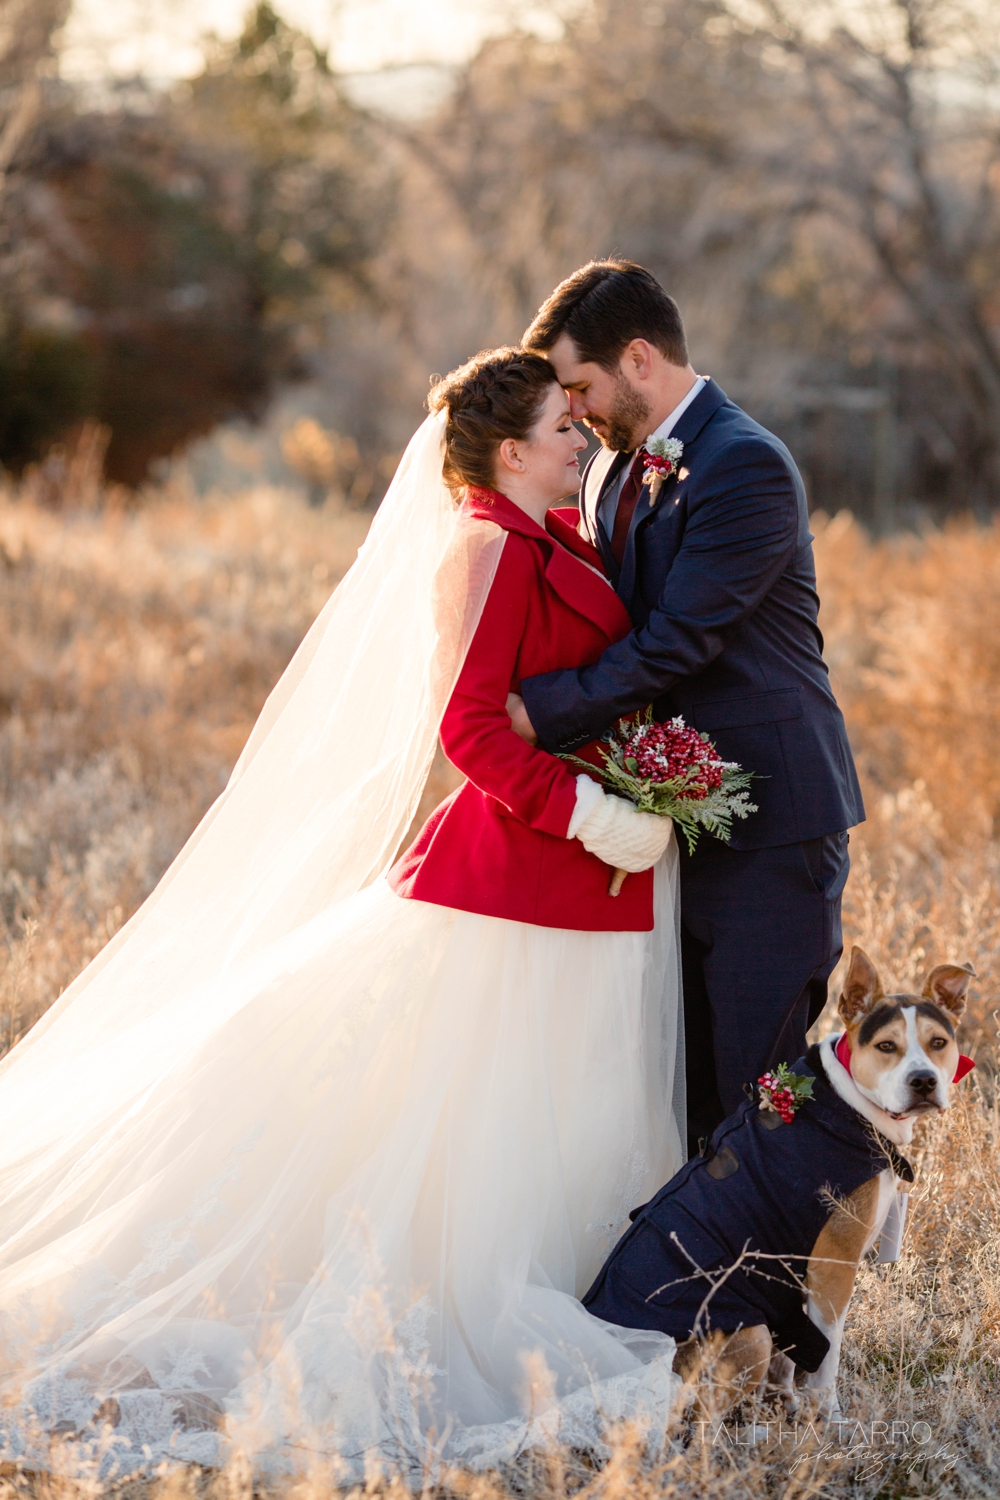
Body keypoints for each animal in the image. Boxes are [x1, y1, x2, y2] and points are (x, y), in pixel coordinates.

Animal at [581, 948, 971, 1416]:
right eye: (886, 1046)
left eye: (938, 1043)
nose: (924, 1081)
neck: (847, 1102)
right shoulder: (833, 1267)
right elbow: (827, 1354)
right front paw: (828, 1417)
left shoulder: (792, 1279)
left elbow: (791, 1357)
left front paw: (788, 1400)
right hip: (749, 1334)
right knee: (703, 1411)